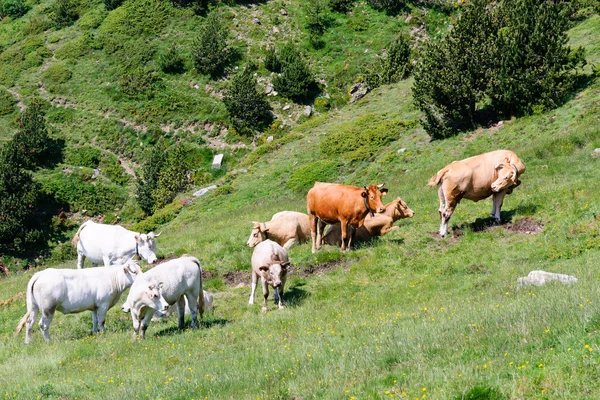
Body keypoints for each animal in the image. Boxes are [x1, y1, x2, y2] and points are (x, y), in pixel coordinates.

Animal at [14, 260, 142, 342]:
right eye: (134, 272)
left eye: (140, 269)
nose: (143, 276)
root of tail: (40, 274)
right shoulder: (103, 304)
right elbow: (101, 321)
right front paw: (103, 333)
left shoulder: (94, 306)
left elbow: (95, 320)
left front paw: (95, 333)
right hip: (48, 308)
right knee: (43, 324)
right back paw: (49, 341)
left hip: (33, 306)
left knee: (29, 323)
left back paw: (28, 342)